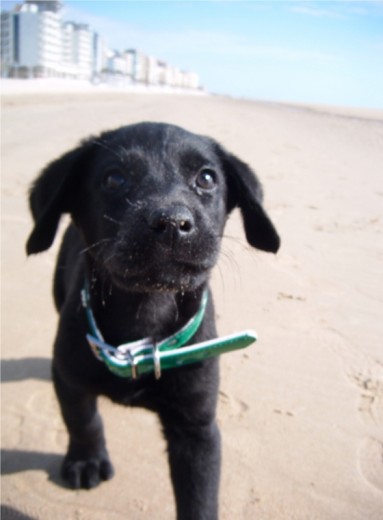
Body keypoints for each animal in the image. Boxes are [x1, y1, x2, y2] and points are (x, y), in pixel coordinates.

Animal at [27, 123, 280, 520]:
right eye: (114, 178)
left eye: (206, 178)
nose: (173, 223)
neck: (145, 315)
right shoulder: (69, 376)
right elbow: (82, 420)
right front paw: (86, 460)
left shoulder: (197, 429)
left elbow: (199, 500)